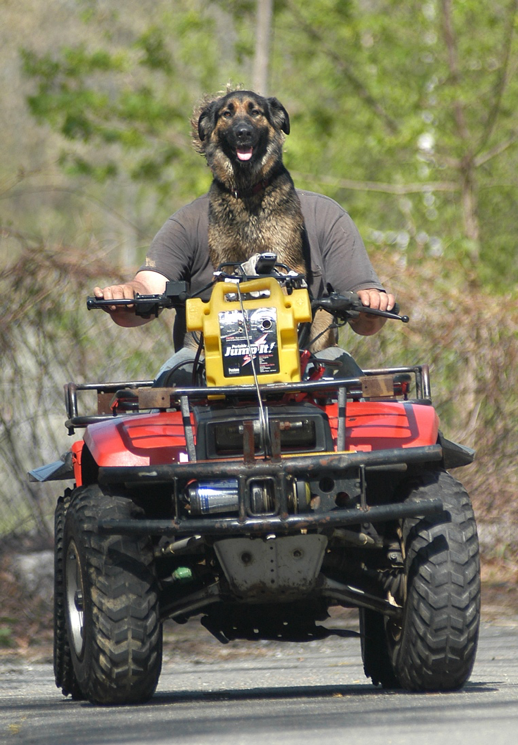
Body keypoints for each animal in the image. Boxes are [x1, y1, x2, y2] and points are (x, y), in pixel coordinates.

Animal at [197, 88, 336, 350]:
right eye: (227, 113)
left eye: (255, 112)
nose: (243, 132)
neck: (247, 190)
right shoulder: (225, 260)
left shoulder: (283, 257)